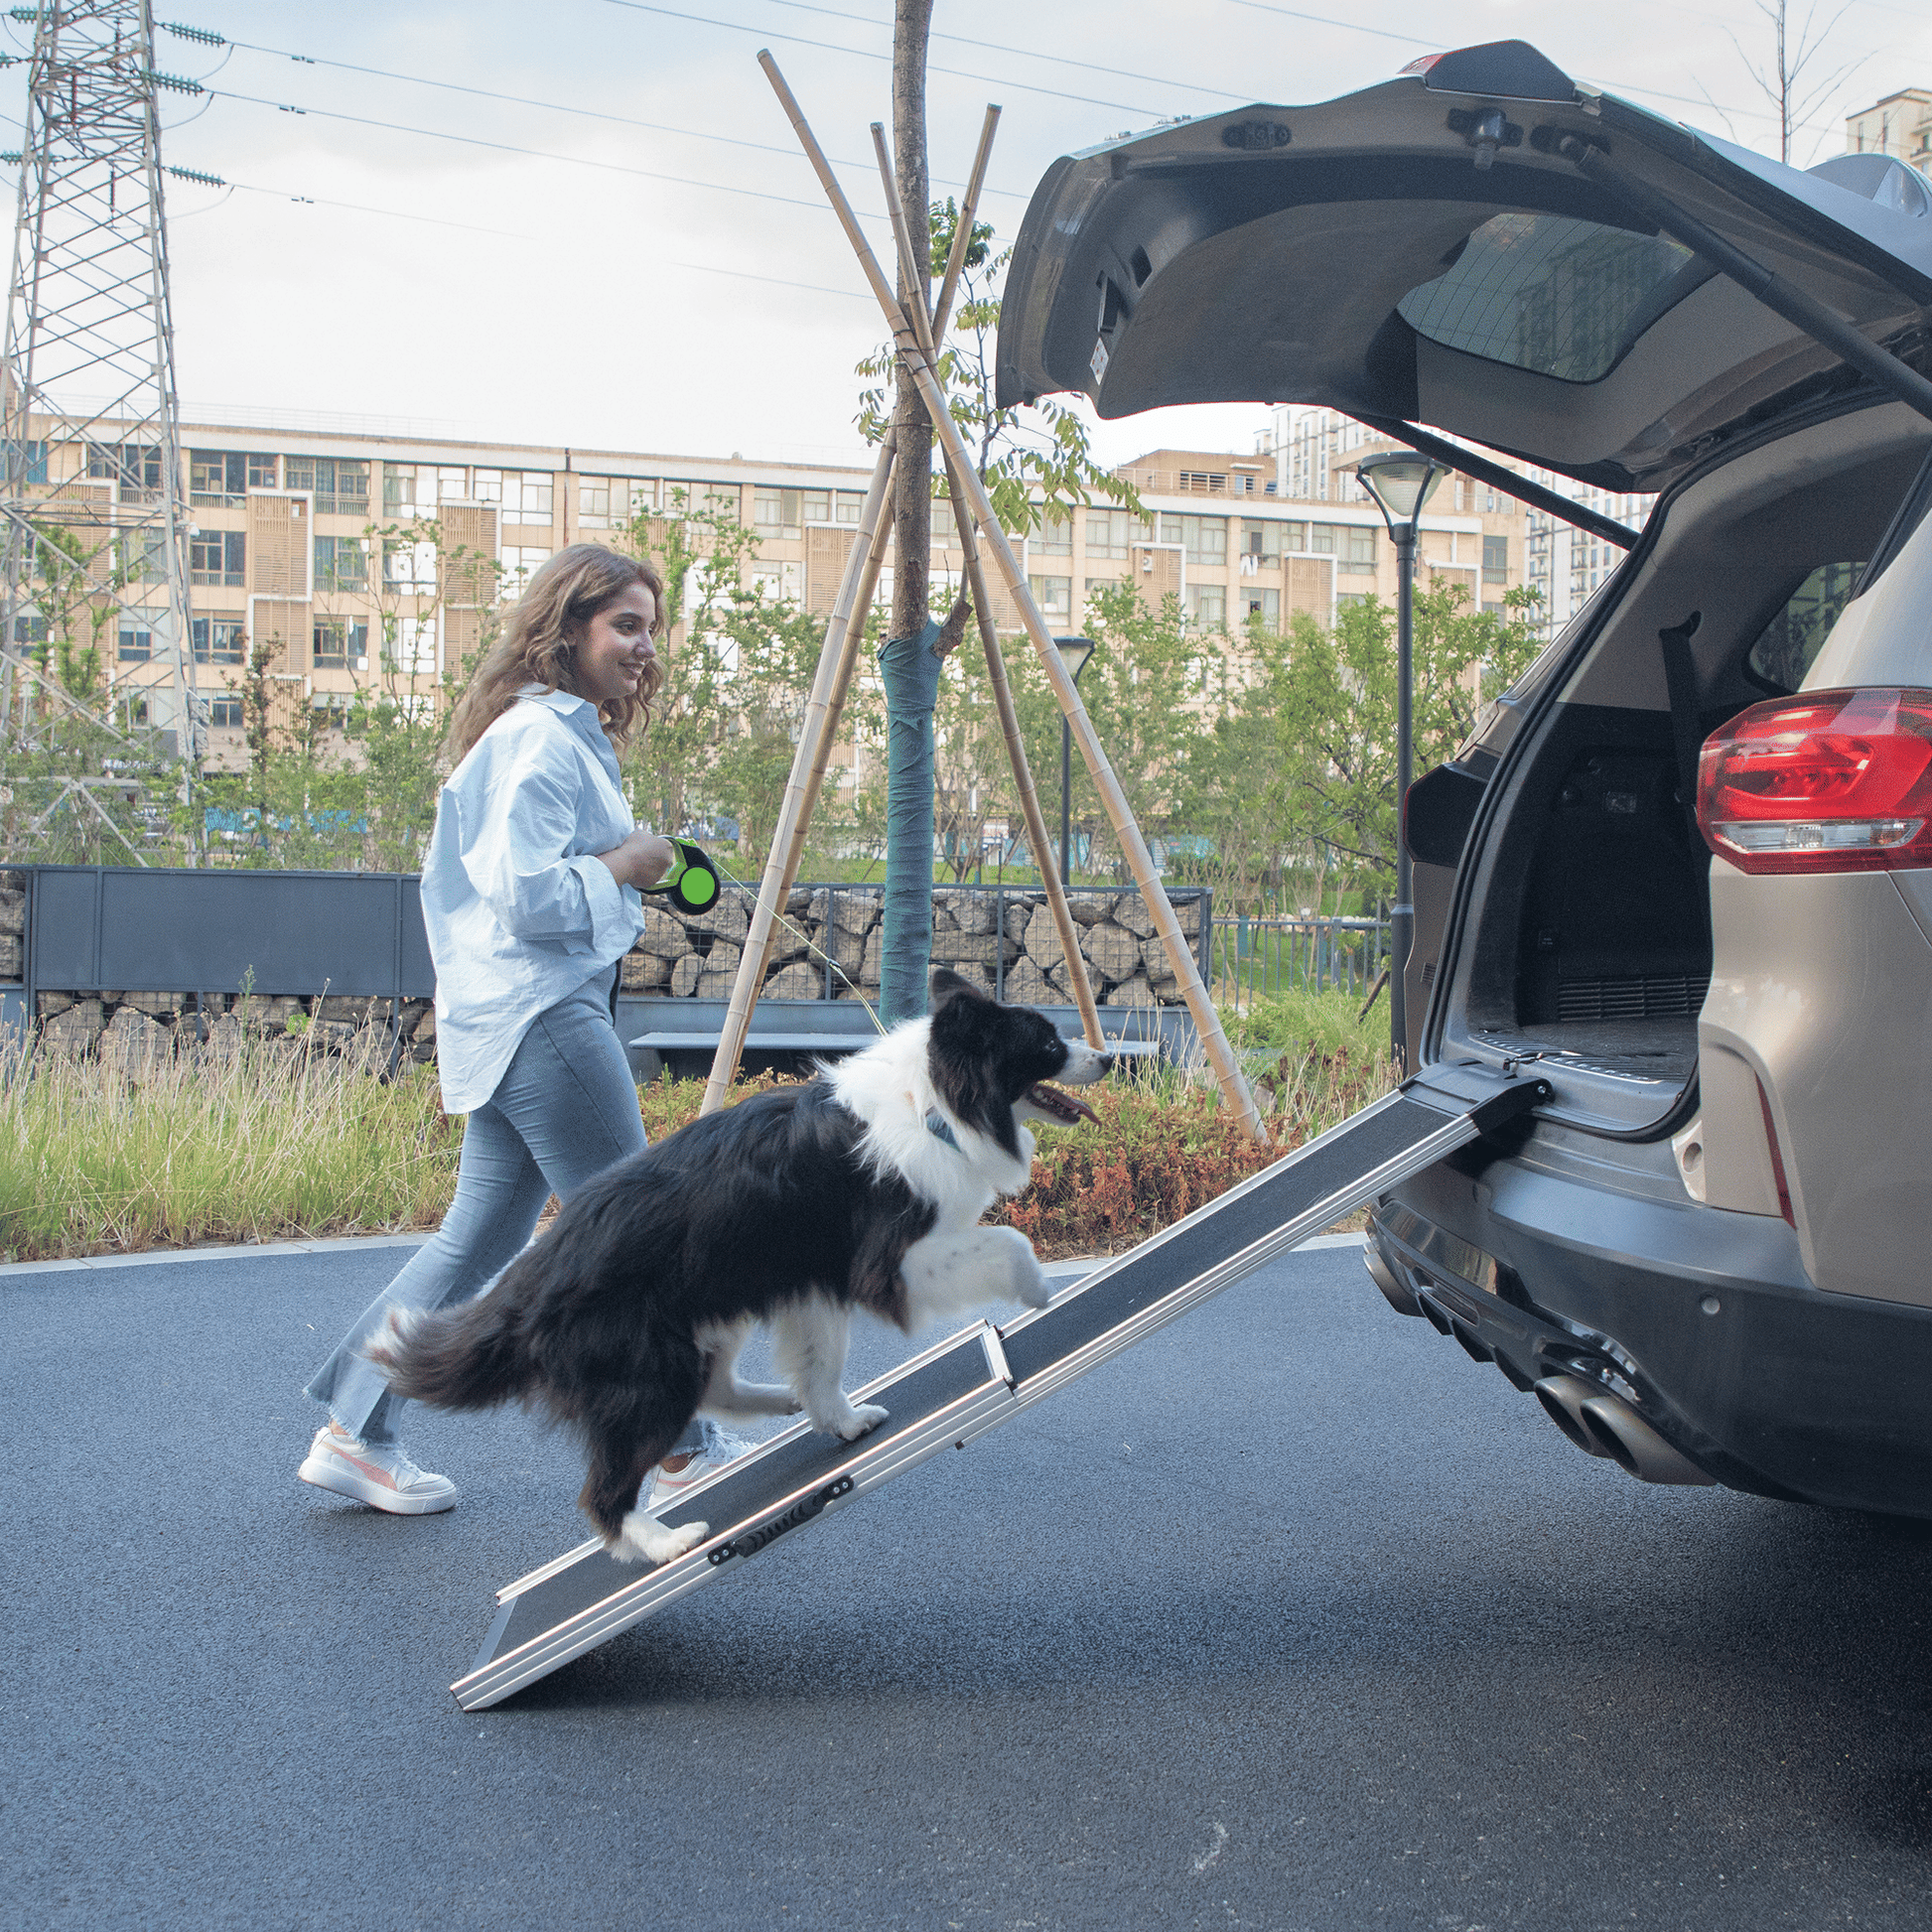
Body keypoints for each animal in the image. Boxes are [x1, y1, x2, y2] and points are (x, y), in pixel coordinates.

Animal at [368, 973, 1112, 1561]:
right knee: (605, 1490)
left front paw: (841, 1421)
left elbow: (820, 1365)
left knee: (717, 1385)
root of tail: (527, 1288)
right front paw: (1039, 1292)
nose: (1107, 1058)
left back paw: (777, 1403)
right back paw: (665, 1542)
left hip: (710, 1310)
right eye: (1049, 1045)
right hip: (651, 1368)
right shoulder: (884, 1261)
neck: (933, 1102)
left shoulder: (811, 1280)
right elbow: (1007, 1239)